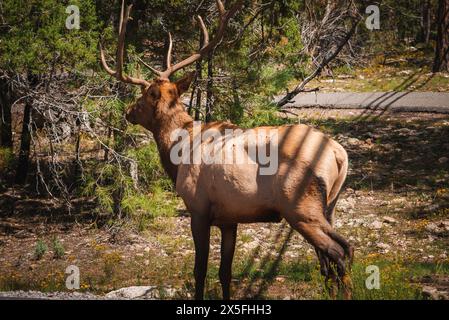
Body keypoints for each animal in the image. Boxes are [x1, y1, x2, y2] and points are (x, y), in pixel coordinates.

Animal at [100, 0, 352, 300]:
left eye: (143, 96)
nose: (128, 112)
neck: (178, 152)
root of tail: (339, 154)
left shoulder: (198, 208)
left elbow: (200, 270)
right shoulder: (230, 218)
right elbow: (225, 273)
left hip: (300, 206)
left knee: (341, 251)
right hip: (329, 205)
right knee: (332, 259)